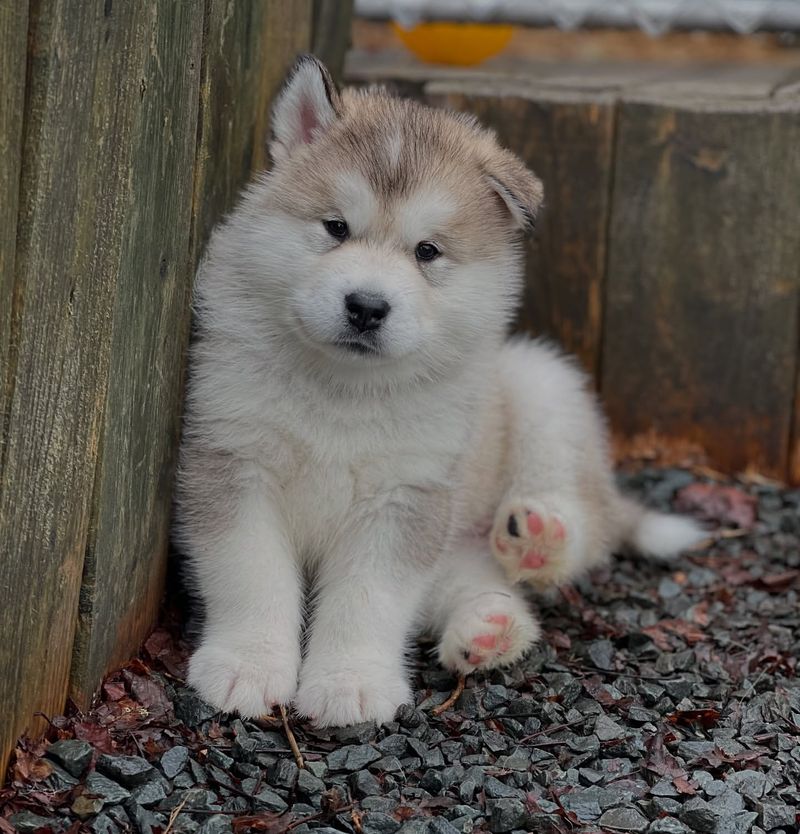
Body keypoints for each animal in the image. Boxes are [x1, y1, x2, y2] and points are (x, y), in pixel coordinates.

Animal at [175, 55, 700, 724]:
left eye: (427, 251)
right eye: (335, 227)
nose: (367, 306)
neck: (342, 388)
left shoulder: (406, 497)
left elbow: (368, 599)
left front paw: (350, 681)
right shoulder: (233, 463)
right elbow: (252, 575)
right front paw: (247, 664)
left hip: (543, 385)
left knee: (587, 522)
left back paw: (539, 540)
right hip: (455, 534)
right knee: (478, 582)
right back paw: (488, 626)